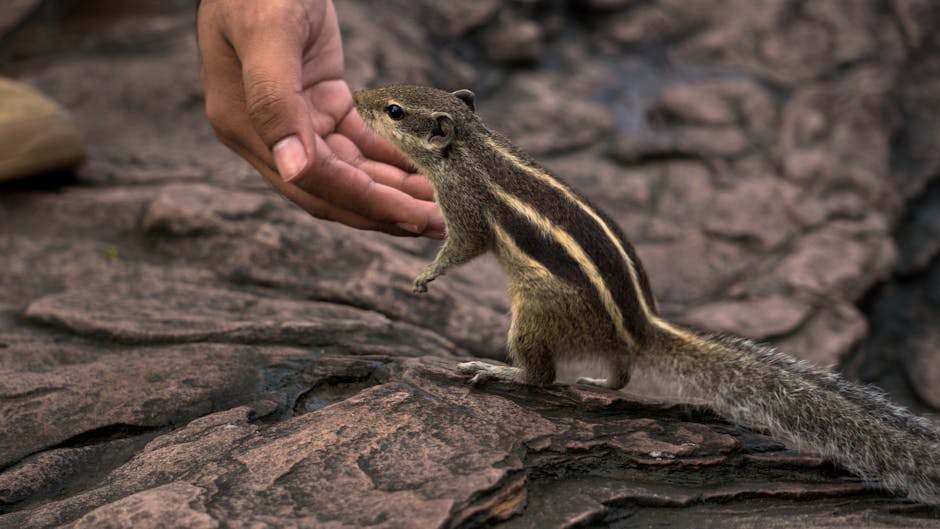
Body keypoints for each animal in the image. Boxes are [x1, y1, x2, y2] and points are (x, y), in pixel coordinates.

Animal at [352, 85, 940, 504]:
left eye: (394, 110)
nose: (356, 97)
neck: (473, 143)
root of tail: (642, 325)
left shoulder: (464, 206)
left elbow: (463, 247)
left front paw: (426, 276)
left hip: (533, 313)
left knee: (543, 377)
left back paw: (499, 370)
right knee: (621, 371)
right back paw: (598, 381)